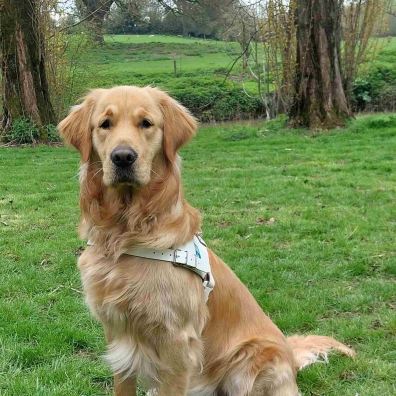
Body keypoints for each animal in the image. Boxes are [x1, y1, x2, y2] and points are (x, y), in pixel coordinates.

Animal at [59, 85, 356, 394]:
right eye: (105, 124)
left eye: (146, 123)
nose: (123, 157)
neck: (126, 233)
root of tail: (290, 356)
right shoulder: (117, 332)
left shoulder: (177, 340)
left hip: (247, 363)